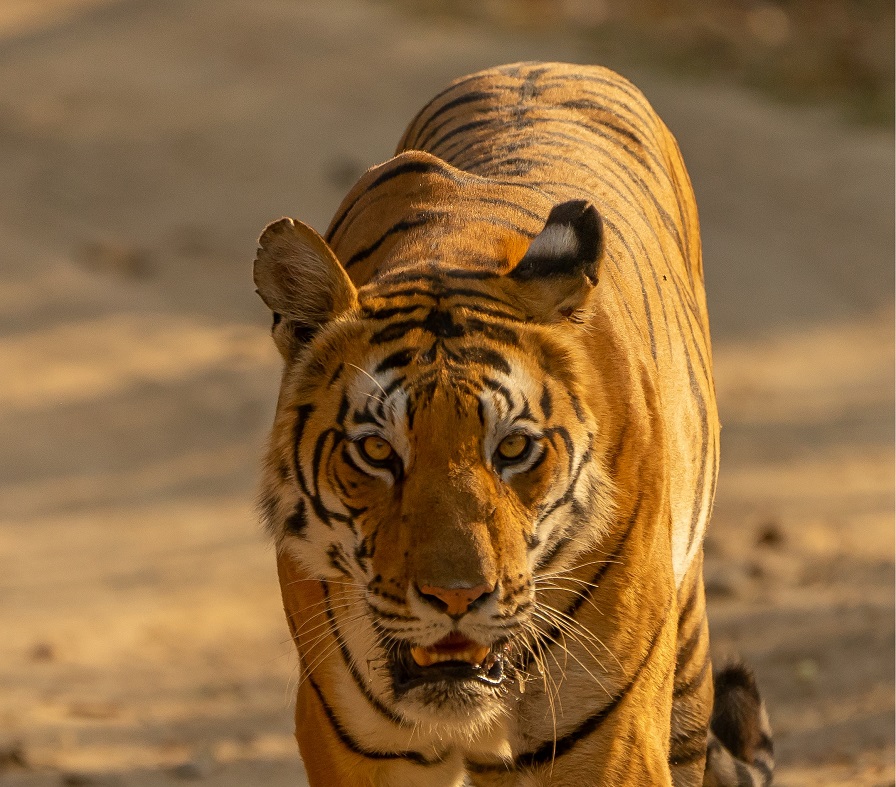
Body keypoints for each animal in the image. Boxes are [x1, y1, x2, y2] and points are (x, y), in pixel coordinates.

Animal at [253, 62, 773, 786]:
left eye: (516, 448)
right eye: (378, 451)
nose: (455, 598)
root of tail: (549, 62)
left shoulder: (609, 744)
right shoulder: (356, 747)